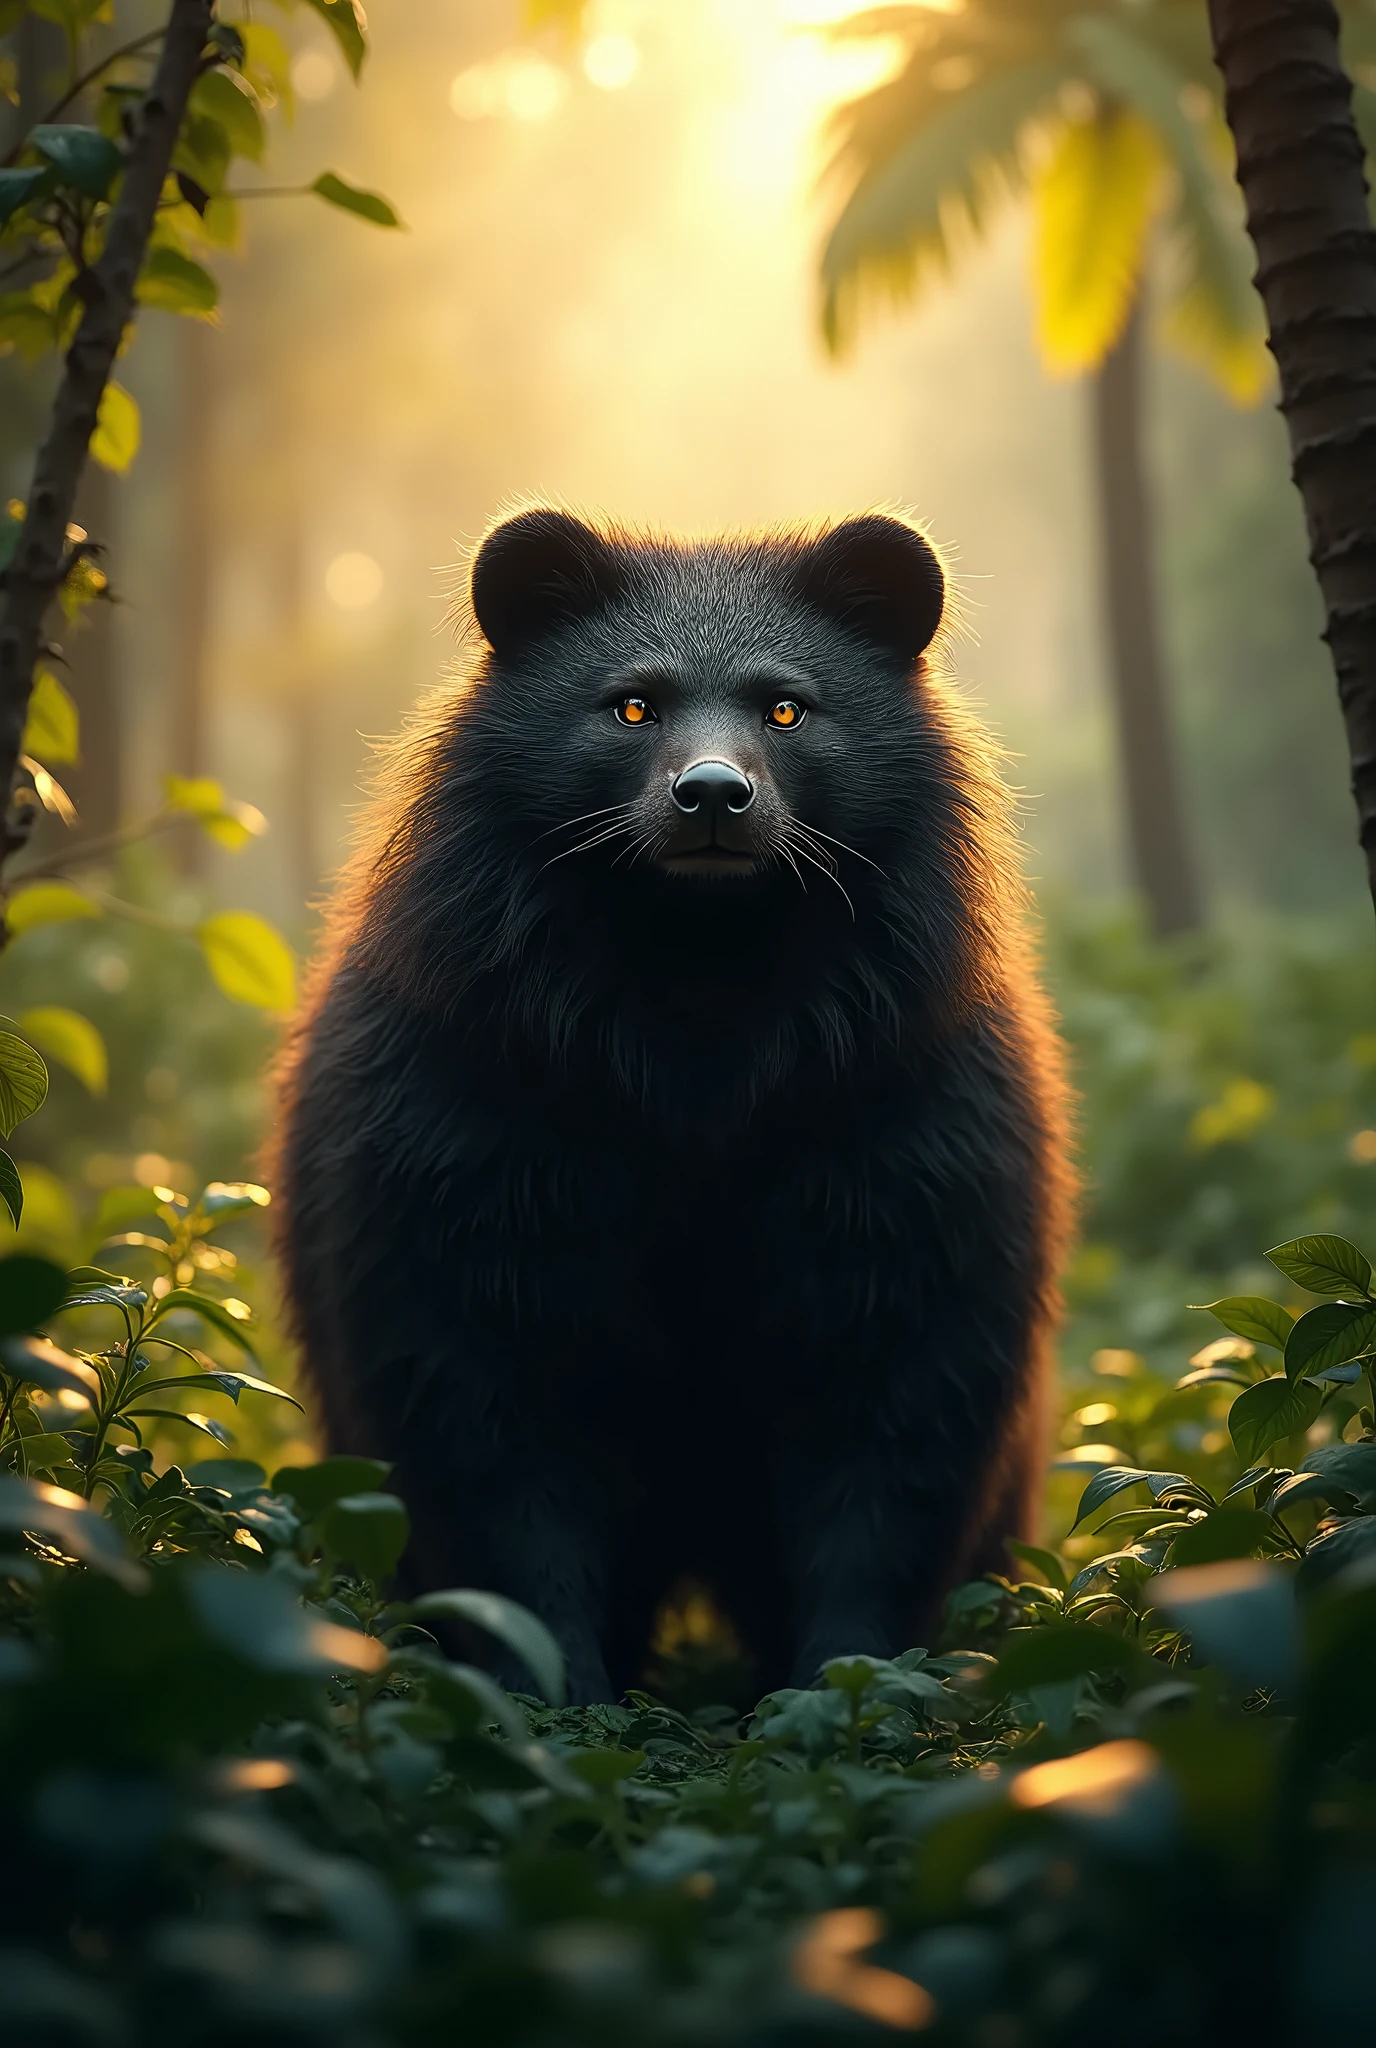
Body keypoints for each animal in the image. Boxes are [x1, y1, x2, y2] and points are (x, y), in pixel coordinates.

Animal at [271, 507, 1074, 1704]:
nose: (710, 796)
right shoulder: (473, 1139)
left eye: (785, 706)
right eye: (631, 704)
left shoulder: (896, 1140)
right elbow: (491, 1428)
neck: (702, 981)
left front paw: (844, 1681)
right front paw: (557, 1689)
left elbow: (890, 1424)